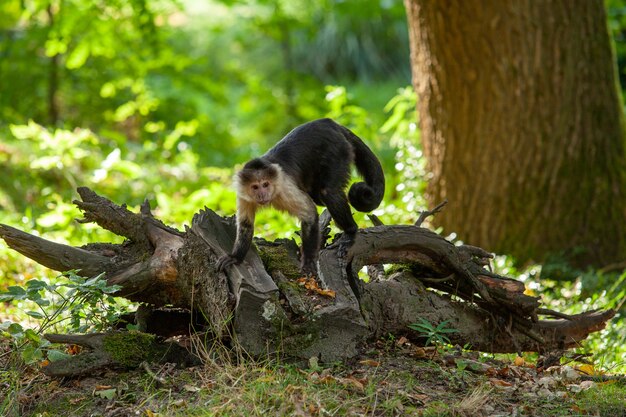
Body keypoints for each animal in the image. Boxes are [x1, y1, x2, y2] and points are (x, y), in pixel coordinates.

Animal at [218, 117, 386, 274]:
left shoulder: (284, 188)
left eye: (265, 184)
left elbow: (309, 214)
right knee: (318, 196)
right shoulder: (243, 195)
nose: (262, 194)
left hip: (338, 149)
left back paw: (350, 232)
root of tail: (329, 122)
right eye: (255, 187)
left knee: (328, 192)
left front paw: (309, 261)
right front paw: (235, 257)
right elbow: (246, 226)